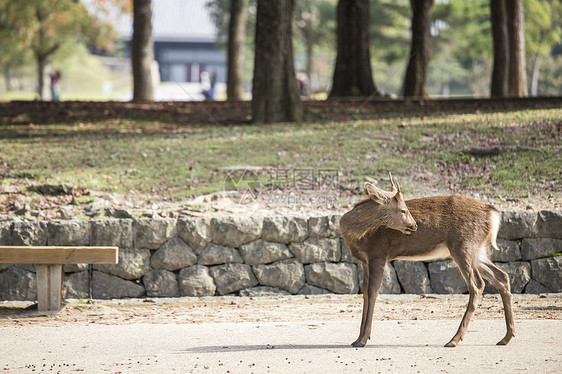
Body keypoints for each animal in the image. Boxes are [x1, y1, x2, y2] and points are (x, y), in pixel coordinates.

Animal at [340, 174, 516, 350]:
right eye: (403, 210)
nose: (414, 225)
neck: (358, 237)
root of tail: (493, 214)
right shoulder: (365, 261)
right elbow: (364, 292)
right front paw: (358, 337)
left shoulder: (378, 254)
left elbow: (373, 292)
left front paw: (363, 339)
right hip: (477, 252)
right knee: (502, 277)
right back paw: (506, 337)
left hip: (464, 245)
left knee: (477, 285)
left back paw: (454, 339)